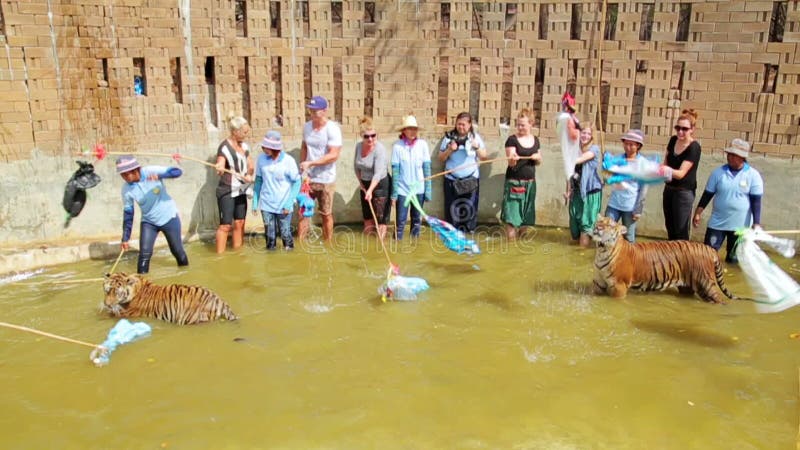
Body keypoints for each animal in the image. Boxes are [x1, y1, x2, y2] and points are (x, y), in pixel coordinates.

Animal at [101, 270, 238, 324]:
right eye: (107, 291)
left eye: (116, 292)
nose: (107, 304)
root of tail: (219, 300)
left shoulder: (127, 313)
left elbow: (109, 315)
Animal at [592, 216, 736, 304]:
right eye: (598, 222)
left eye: (610, 224)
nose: (598, 227)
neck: (602, 251)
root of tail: (709, 248)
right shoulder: (599, 282)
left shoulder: (619, 286)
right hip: (689, 286)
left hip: (706, 284)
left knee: (720, 299)